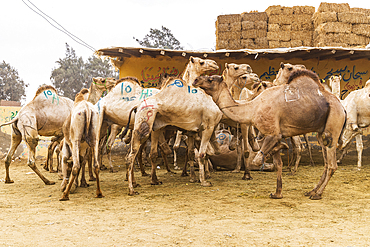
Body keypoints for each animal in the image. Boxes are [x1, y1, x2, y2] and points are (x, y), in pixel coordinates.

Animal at [194, 68, 346, 201]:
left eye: (210, 79)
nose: (196, 80)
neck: (253, 108)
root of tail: (342, 108)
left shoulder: (273, 133)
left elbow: (258, 159)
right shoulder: (275, 134)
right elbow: (278, 163)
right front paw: (278, 193)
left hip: (333, 126)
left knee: (332, 165)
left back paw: (317, 194)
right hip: (321, 134)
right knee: (326, 163)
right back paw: (312, 191)